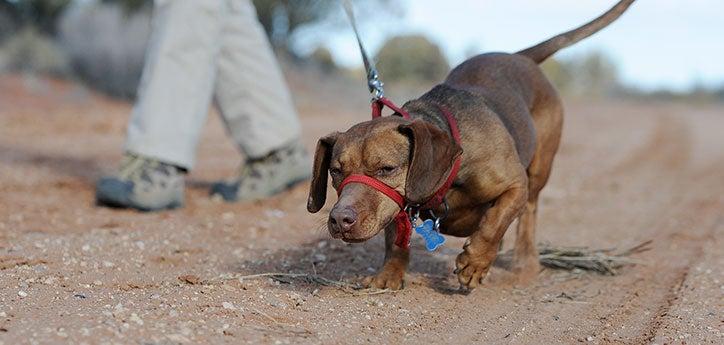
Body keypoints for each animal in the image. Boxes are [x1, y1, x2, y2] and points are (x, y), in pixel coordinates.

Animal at [308, 1, 636, 288]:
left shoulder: (515, 185)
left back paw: (524, 263)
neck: (449, 176)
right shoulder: (398, 207)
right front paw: (389, 275)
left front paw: (475, 263)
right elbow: (396, 241)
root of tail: (520, 56)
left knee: (528, 214)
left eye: (387, 169)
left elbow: (495, 223)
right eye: (336, 171)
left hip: (539, 170)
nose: (340, 220)